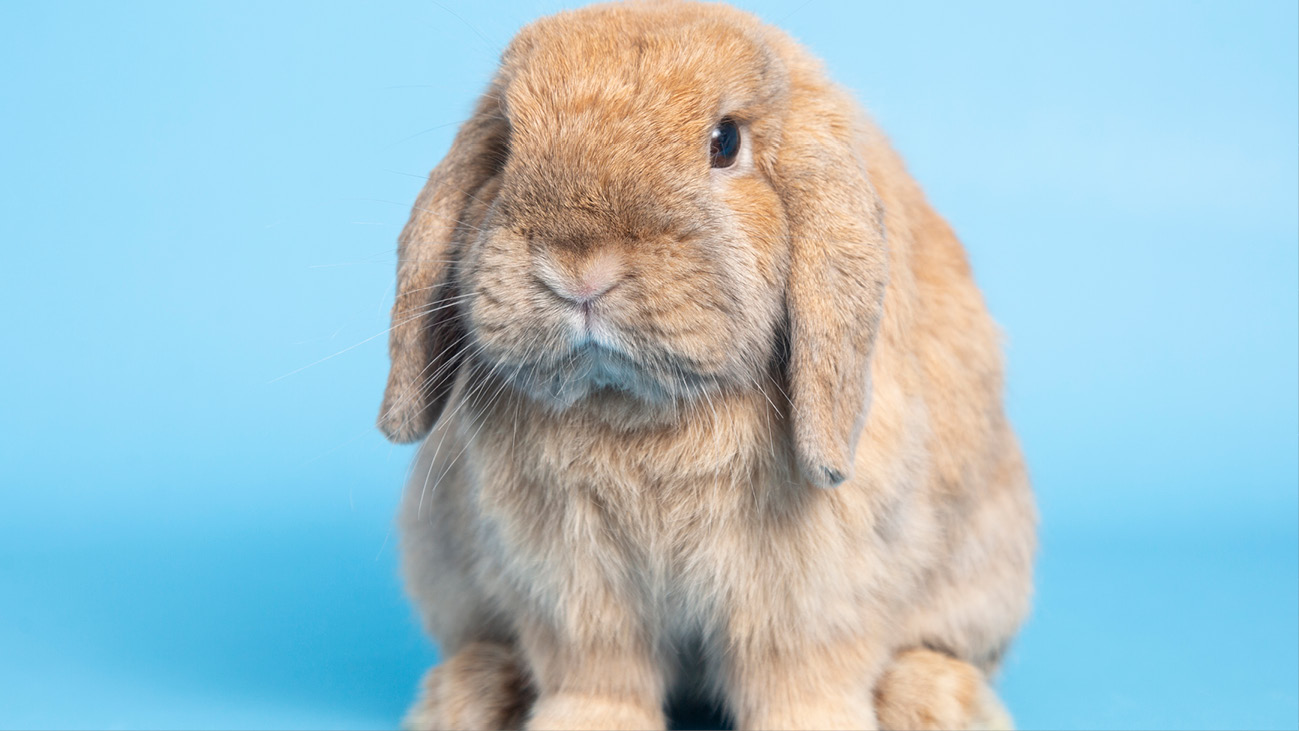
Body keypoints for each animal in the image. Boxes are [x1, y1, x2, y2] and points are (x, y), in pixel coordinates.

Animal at [377, 1, 1036, 729]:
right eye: (505, 145)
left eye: (724, 143)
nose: (577, 265)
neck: (636, 410)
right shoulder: (574, 582)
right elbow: (596, 671)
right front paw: (586, 722)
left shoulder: (809, 589)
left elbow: (799, 674)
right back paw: (466, 694)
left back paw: (935, 697)